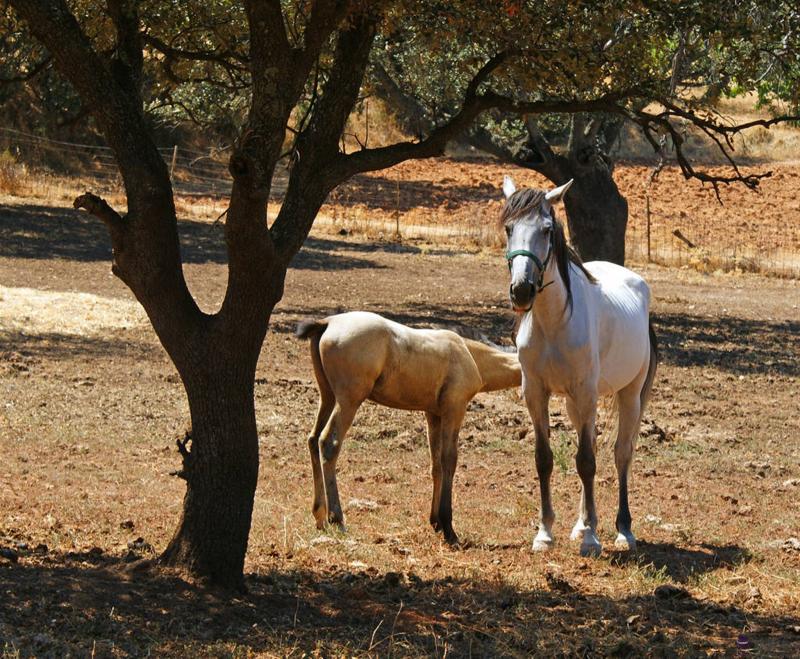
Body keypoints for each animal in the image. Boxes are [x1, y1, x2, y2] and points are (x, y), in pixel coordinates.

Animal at [296, 314, 520, 548]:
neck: (469, 352)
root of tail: (329, 322)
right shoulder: (454, 410)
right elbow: (449, 461)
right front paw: (449, 530)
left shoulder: (433, 415)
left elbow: (436, 465)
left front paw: (436, 522)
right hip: (349, 400)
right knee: (328, 443)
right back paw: (337, 519)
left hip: (327, 396)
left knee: (313, 439)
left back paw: (320, 517)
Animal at [504, 177, 660, 556]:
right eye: (508, 228)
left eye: (547, 230)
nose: (522, 291)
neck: (554, 322)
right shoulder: (536, 393)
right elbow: (545, 459)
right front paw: (546, 533)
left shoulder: (586, 393)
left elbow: (587, 461)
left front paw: (591, 539)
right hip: (576, 404)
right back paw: (580, 524)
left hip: (629, 395)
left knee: (621, 454)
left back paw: (622, 531)